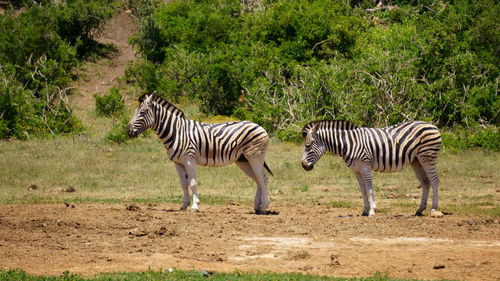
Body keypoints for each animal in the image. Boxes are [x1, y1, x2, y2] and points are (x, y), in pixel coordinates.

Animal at [126, 91, 274, 213]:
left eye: (142, 112)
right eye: (135, 111)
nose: (128, 131)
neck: (177, 132)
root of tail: (259, 126)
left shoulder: (189, 159)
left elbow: (192, 183)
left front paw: (195, 206)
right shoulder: (177, 162)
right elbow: (183, 184)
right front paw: (184, 205)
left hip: (255, 156)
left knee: (263, 179)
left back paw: (264, 208)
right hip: (243, 160)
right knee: (258, 179)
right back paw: (257, 206)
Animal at [300, 119, 442, 215]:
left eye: (308, 145)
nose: (303, 165)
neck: (348, 143)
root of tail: (433, 126)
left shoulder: (365, 166)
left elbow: (369, 188)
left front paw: (372, 210)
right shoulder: (356, 170)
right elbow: (363, 190)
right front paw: (365, 210)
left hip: (427, 158)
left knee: (434, 180)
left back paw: (434, 208)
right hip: (416, 161)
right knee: (425, 182)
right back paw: (420, 210)